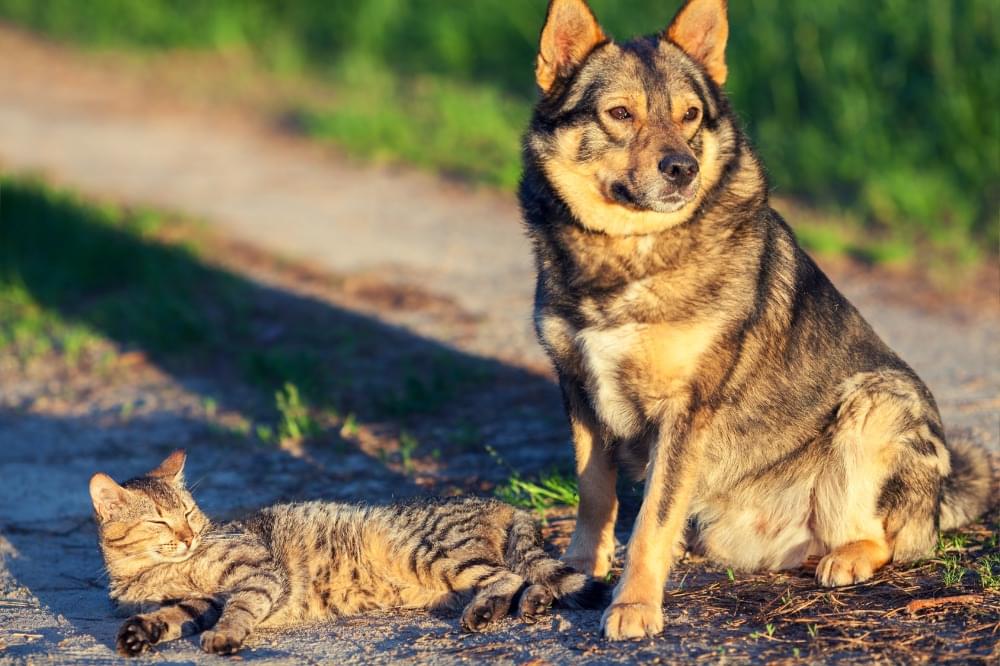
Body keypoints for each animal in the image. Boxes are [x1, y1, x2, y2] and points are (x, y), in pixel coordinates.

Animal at [92, 446, 608, 652]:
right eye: (160, 519)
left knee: (509, 576)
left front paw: (224, 636)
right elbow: (169, 615)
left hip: (434, 552)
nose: (189, 535)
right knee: (531, 581)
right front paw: (139, 633)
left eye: (189, 512)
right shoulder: (197, 600)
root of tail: (500, 502)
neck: (152, 573)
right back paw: (529, 604)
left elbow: (238, 608)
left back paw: (484, 611)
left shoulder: (257, 575)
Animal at [520, 0, 996, 640]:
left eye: (691, 115)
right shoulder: (577, 388)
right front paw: (576, 571)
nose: (683, 168)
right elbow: (596, 496)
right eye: (619, 114)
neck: (627, 254)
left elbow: (650, 522)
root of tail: (942, 496)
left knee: (882, 537)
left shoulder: (686, 410)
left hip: (876, 402)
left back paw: (845, 558)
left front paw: (634, 604)